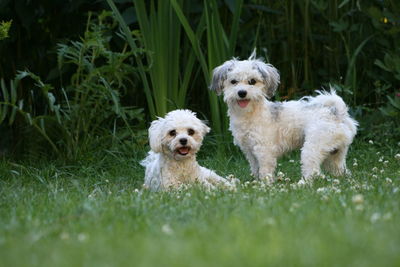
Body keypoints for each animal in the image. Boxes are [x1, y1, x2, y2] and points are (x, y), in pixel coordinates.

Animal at [211, 54, 358, 184]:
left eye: (252, 81)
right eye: (233, 82)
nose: (242, 93)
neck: (249, 114)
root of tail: (337, 112)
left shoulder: (264, 151)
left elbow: (265, 171)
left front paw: (265, 185)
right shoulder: (250, 152)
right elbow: (255, 169)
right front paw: (256, 183)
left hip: (312, 148)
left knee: (313, 171)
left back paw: (303, 184)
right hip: (335, 154)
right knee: (341, 171)